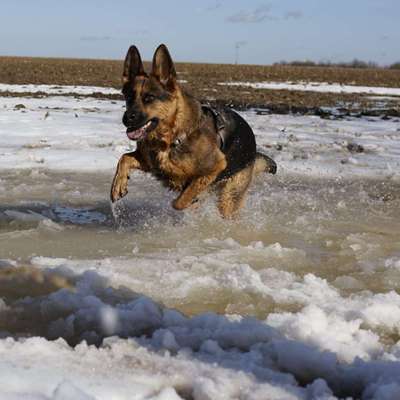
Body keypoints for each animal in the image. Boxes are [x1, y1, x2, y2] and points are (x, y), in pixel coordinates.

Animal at [111, 43, 276, 219]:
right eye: (129, 97)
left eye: (149, 98)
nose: (127, 119)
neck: (173, 136)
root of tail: (253, 146)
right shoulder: (149, 162)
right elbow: (124, 158)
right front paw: (117, 185)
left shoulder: (217, 165)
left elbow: (180, 201)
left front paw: (189, 199)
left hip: (228, 199)